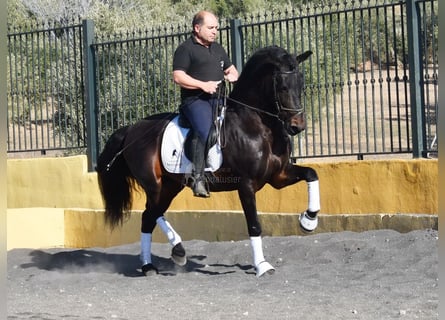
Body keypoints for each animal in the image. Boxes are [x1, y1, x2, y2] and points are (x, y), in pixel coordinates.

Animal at [96, 45, 320, 278]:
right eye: (283, 87)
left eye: (301, 84)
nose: (297, 126)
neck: (259, 127)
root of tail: (131, 129)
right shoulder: (246, 184)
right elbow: (254, 224)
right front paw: (262, 265)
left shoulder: (279, 176)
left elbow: (312, 174)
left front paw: (308, 220)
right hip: (154, 184)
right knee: (150, 214)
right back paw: (169, 254)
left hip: (170, 185)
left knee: (150, 216)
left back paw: (158, 261)